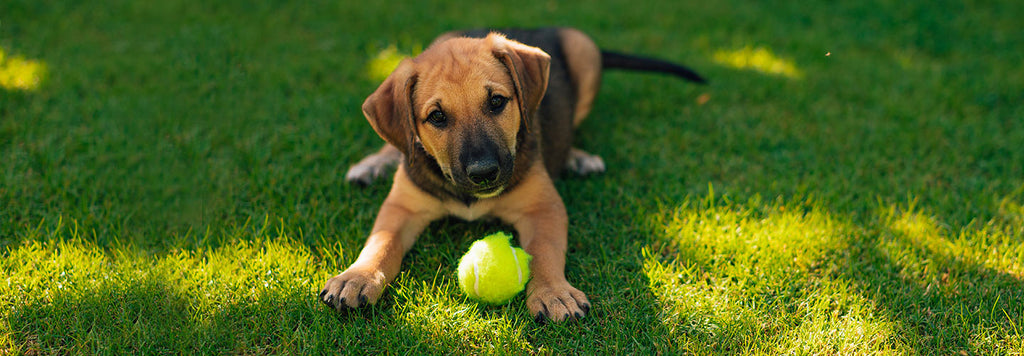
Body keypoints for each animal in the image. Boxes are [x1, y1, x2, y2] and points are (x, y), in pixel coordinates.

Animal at [319, 27, 704, 323]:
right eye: (437, 117)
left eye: (497, 102)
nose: (484, 173)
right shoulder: (402, 206)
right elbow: (380, 242)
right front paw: (356, 277)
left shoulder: (544, 207)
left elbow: (545, 251)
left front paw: (553, 293)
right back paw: (373, 164)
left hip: (584, 51)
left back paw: (577, 158)